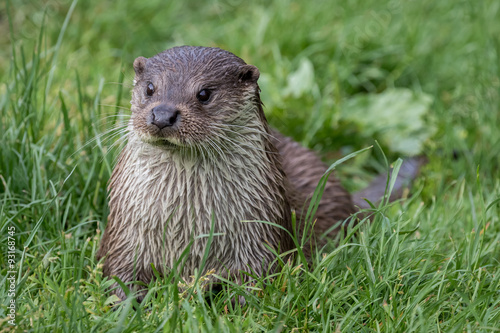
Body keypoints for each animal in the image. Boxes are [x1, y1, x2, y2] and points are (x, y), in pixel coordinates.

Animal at [95, 45, 412, 300]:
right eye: (150, 88)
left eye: (204, 93)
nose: (162, 114)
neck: (185, 229)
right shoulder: (125, 235)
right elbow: (118, 275)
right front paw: (127, 303)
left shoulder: (259, 234)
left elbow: (257, 281)